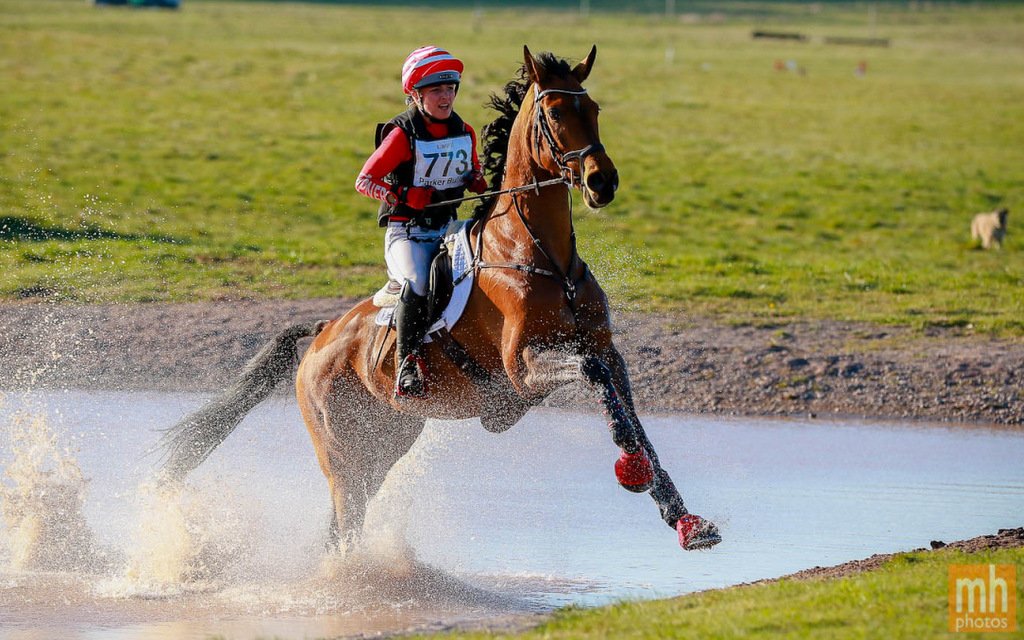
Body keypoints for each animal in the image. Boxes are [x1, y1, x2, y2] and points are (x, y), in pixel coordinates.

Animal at [160, 46, 721, 553]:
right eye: (556, 114)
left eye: (596, 109)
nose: (602, 181)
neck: (542, 257)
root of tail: (320, 337)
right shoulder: (524, 366)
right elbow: (594, 379)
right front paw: (632, 469)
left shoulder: (605, 348)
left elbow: (626, 408)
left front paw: (684, 520)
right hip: (342, 453)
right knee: (344, 519)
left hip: (387, 440)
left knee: (342, 524)